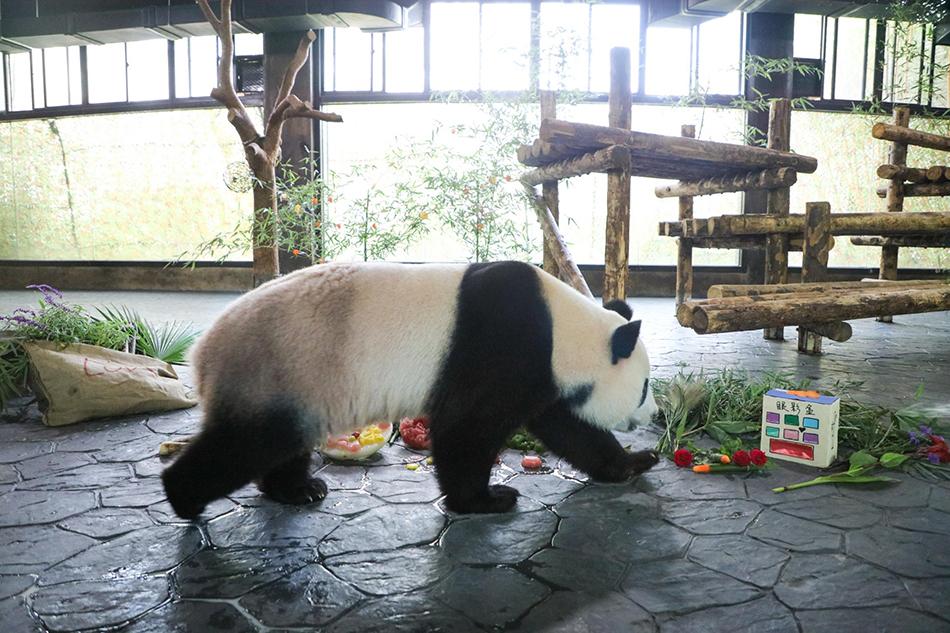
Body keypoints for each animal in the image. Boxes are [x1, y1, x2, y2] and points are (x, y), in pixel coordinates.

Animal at [160, 260, 660, 516]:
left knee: (278, 443)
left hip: (297, 381)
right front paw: (486, 499)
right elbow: (466, 426)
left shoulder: (540, 375)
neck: (563, 330)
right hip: (277, 368)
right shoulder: (502, 344)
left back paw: (296, 489)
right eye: (644, 387)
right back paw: (185, 499)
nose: (654, 416)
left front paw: (633, 462)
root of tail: (202, 352)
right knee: (247, 443)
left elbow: (569, 428)